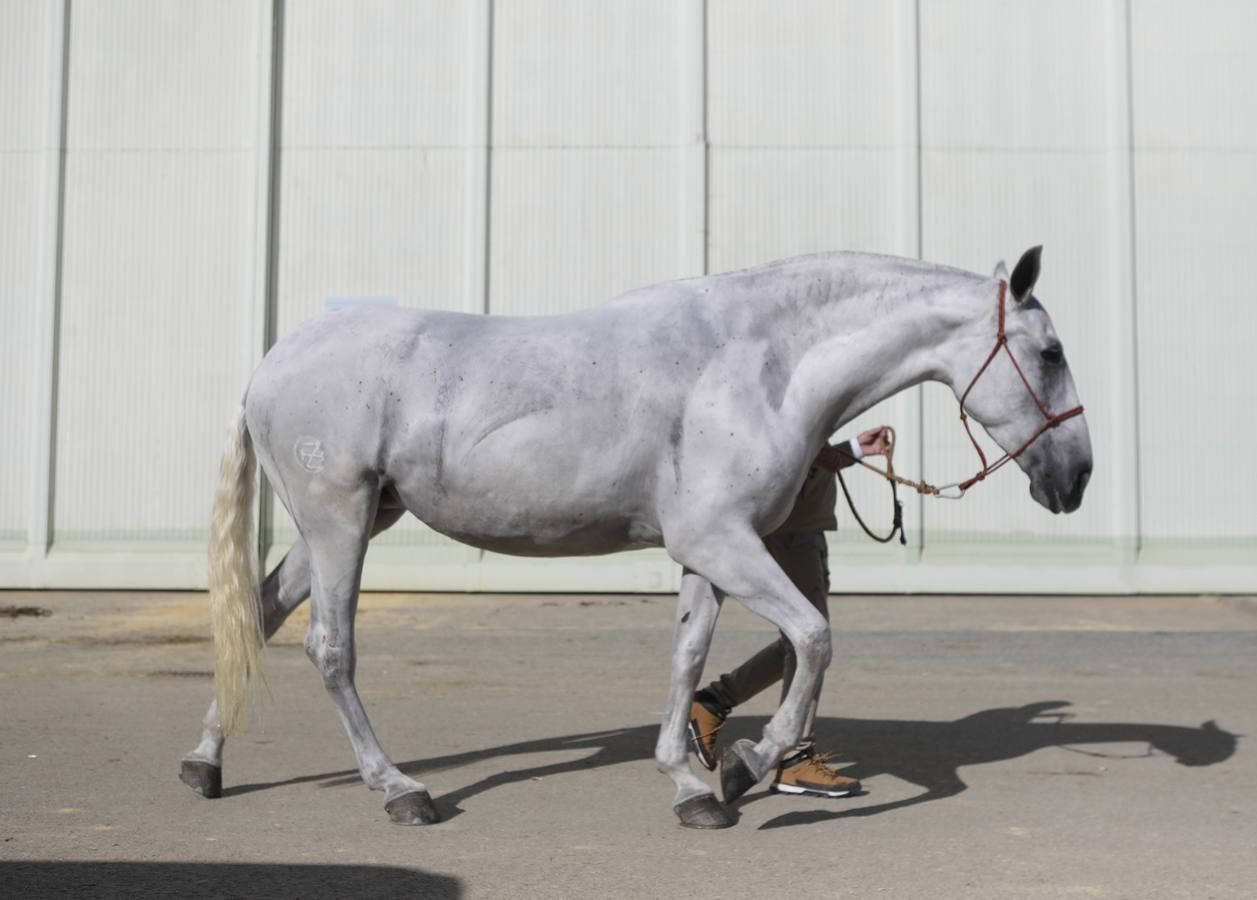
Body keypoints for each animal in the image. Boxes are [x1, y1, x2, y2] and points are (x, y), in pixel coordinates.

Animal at [179, 246, 1093, 829]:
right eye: (1049, 352)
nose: (1075, 478)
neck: (756, 364)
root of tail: (270, 365)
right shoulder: (724, 543)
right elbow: (813, 637)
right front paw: (745, 767)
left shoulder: (704, 553)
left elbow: (688, 657)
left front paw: (691, 784)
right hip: (338, 521)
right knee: (328, 648)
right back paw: (401, 791)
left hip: (346, 522)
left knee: (258, 616)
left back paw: (206, 765)